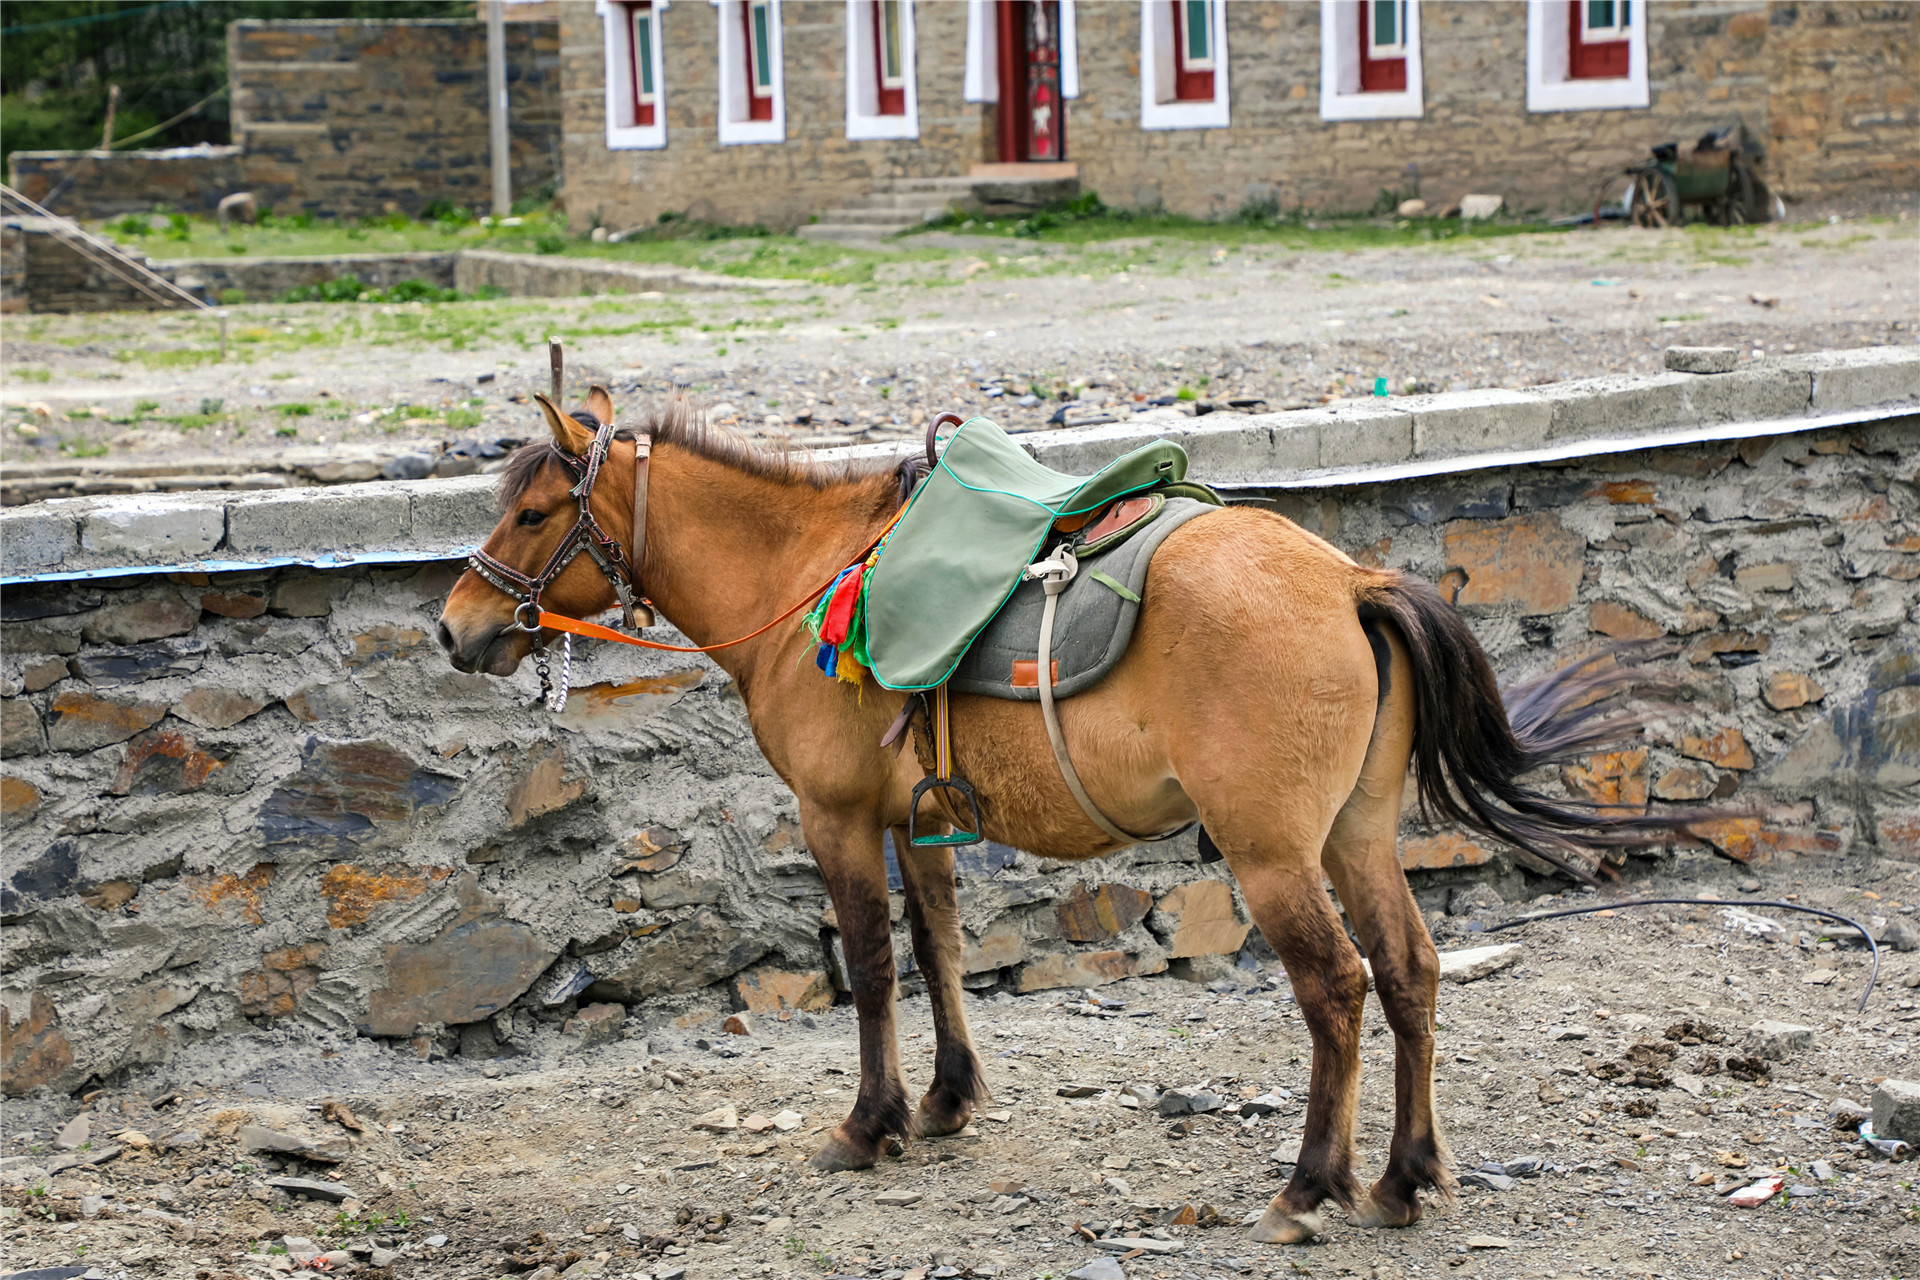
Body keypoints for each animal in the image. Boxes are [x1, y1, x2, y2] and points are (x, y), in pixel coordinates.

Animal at [432, 387, 1681, 1243]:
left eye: (535, 510)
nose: (453, 627)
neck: (807, 574)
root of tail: (1349, 580)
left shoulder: (835, 815)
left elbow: (873, 966)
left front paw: (870, 1121)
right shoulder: (916, 819)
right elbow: (938, 948)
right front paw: (946, 1099)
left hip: (1273, 851)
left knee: (1337, 985)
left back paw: (1309, 1182)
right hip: (1355, 833)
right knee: (1411, 970)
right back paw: (1404, 1175)